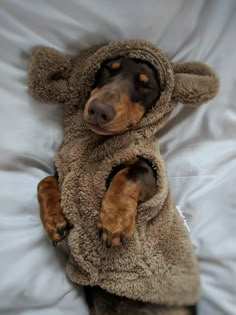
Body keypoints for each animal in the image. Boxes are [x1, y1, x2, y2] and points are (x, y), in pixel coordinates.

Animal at [37, 56, 160, 249]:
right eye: (109, 68)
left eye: (145, 85)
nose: (100, 110)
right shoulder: (63, 168)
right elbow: (45, 181)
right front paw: (54, 221)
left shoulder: (152, 173)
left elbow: (128, 175)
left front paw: (114, 221)